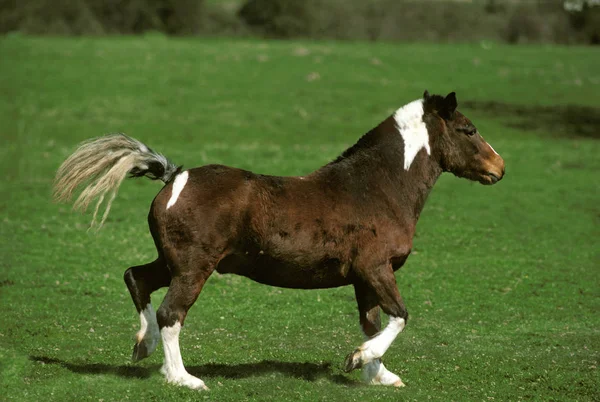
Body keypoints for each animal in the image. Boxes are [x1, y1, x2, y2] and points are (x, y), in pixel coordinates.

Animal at [55, 90, 506, 390]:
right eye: (468, 129)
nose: (500, 168)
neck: (375, 188)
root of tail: (175, 176)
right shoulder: (375, 268)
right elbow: (399, 316)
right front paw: (359, 358)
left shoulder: (364, 279)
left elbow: (372, 322)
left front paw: (377, 373)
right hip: (193, 267)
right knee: (170, 313)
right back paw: (183, 378)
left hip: (173, 262)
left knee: (137, 279)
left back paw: (142, 346)